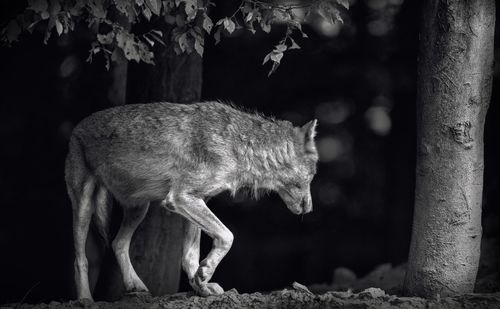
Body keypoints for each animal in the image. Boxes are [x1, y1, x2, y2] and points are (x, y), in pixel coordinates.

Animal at [65, 101, 316, 298]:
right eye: (313, 175)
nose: (309, 209)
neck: (238, 144)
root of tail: (77, 126)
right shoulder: (181, 198)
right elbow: (227, 236)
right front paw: (204, 273)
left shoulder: (195, 201)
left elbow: (190, 257)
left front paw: (201, 285)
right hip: (84, 207)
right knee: (80, 258)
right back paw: (85, 299)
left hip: (139, 208)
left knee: (118, 243)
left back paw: (134, 285)